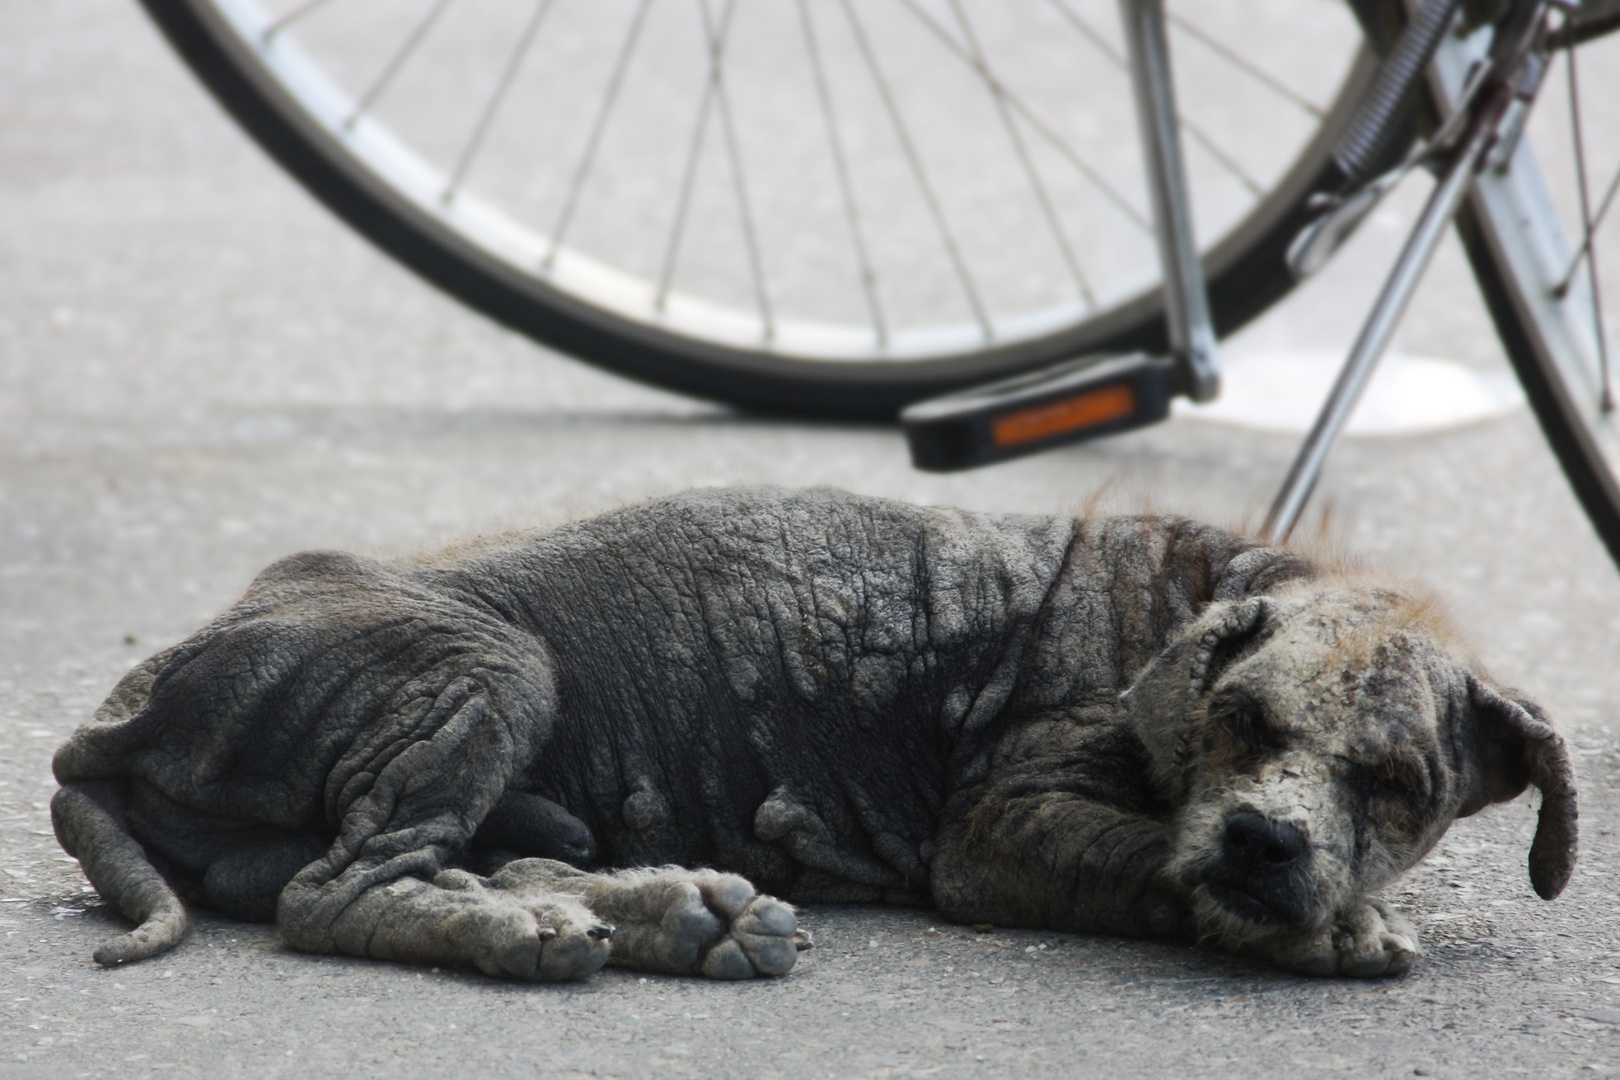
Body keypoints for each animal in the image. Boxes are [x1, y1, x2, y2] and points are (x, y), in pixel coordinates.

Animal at [50, 488, 1568, 977]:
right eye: (1240, 721)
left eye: (1398, 782)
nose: (1262, 843)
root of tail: (114, 717)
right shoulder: (1001, 831)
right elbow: (1145, 860)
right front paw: (1322, 924)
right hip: (487, 657)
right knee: (334, 895)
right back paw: (539, 930)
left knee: (455, 857)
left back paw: (669, 913)